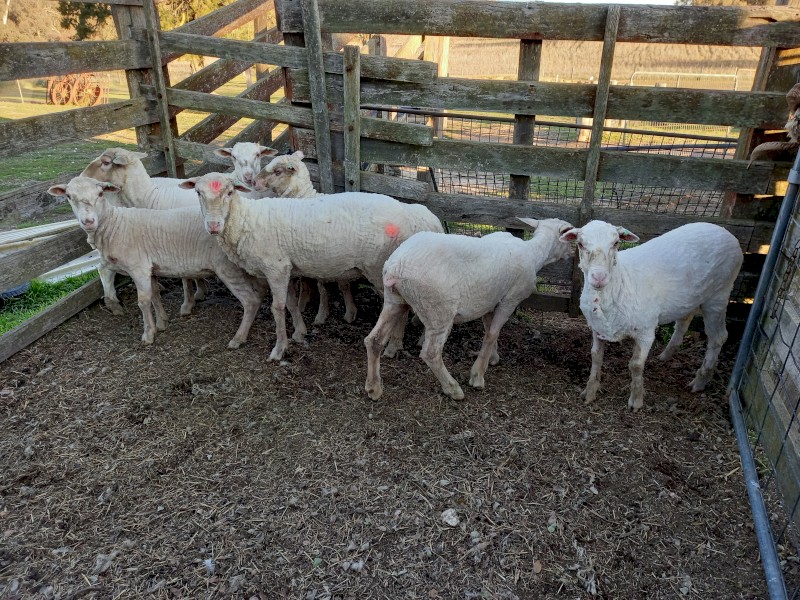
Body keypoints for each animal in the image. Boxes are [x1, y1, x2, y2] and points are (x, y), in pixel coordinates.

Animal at [48, 176, 267, 348]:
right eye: (69, 196)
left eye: (101, 193)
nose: (88, 221)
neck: (115, 226)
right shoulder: (150, 269)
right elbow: (154, 295)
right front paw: (162, 322)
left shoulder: (139, 268)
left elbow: (143, 301)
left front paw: (148, 334)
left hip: (228, 269)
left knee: (251, 301)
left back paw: (238, 338)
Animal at [180, 172, 444, 361]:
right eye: (198, 192)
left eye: (230, 192)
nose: (213, 226)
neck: (246, 220)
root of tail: (411, 213)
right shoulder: (284, 268)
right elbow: (290, 303)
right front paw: (299, 333)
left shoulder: (275, 267)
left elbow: (277, 308)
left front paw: (279, 349)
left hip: (379, 268)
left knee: (402, 308)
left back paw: (393, 346)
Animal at [253, 150, 357, 325]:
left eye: (278, 171)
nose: (254, 181)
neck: (305, 198)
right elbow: (311, 283)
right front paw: (306, 304)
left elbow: (334, 286)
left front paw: (338, 312)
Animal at [363, 218, 575, 401]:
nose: (572, 254)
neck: (535, 252)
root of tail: (396, 267)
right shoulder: (510, 299)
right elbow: (492, 334)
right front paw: (478, 376)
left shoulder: (490, 301)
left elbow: (490, 330)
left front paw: (492, 358)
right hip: (438, 309)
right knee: (430, 353)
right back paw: (453, 389)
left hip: (394, 300)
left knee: (373, 340)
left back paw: (374, 388)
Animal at [561, 220, 743, 412]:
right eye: (580, 243)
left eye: (616, 243)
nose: (599, 277)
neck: (620, 283)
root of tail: (724, 231)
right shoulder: (597, 329)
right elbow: (596, 357)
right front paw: (589, 392)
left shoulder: (645, 332)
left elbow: (635, 365)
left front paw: (636, 400)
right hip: (690, 297)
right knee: (684, 321)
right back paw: (666, 355)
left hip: (718, 296)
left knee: (718, 337)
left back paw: (700, 381)